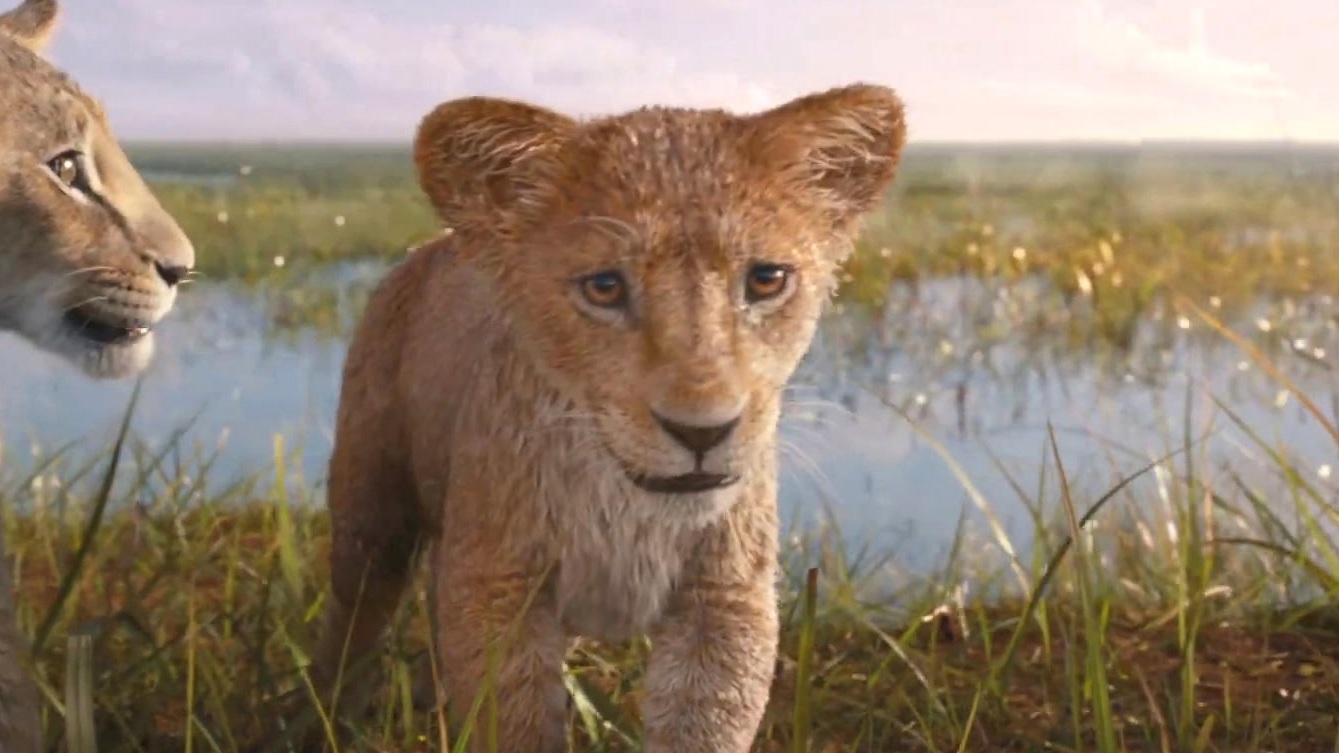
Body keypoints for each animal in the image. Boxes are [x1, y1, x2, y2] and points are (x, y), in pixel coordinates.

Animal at [305, 83, 906, 753]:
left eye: (766, 279)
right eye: (604, 287)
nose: (701, 431)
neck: (624, 507)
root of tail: (431, 246)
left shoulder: (724, 600)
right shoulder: (499, 588)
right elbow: (513, 724)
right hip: (371, 511)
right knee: (355, 615)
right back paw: (328, 716)